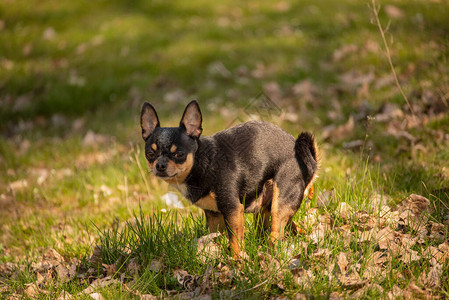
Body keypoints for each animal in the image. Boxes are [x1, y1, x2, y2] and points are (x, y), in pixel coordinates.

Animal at [140, 101, 318, 258]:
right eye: (150, 154)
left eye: (179, 154)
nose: (160, 165)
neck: (202, 161)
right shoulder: (213, 215)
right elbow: (215, 237)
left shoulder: (232, 210)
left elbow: (235, 241)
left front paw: (236, 261)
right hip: (267, 206)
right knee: (286, 227)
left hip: (280, 203)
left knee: (276, 234)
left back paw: (270, 254)